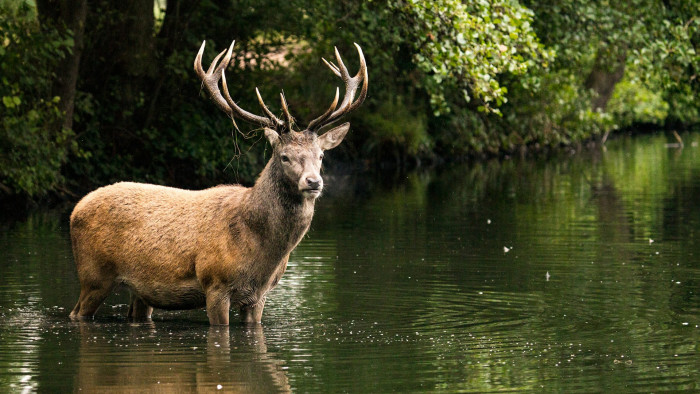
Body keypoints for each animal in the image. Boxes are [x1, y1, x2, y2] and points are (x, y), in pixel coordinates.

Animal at [68, 38, 370, 324]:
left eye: (321, 155)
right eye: (284, 156)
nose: (313, 182)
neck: (261, 253)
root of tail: (76, 209)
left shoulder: (259, 296)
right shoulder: (215, 283)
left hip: (140, 291)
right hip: (93, 274)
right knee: (76, 312)